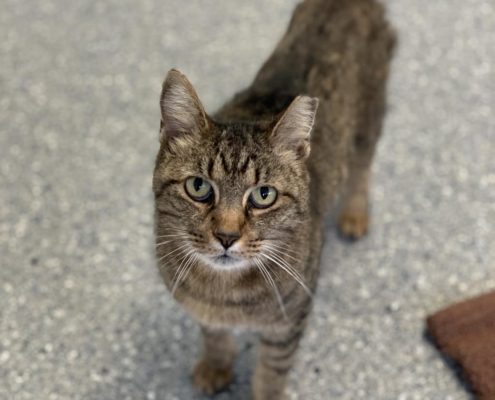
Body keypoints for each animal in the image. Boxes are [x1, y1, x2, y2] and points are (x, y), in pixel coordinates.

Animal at [153, 0, 398, 396]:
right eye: (199, 187)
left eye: (263, 195)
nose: (226, 236)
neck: (225, 294)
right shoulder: (203, 310)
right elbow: (214, 335)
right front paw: (216, 365)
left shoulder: (290, 319)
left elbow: (272, 371)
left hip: (368, 121)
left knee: (361, 168)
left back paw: (355, 213)